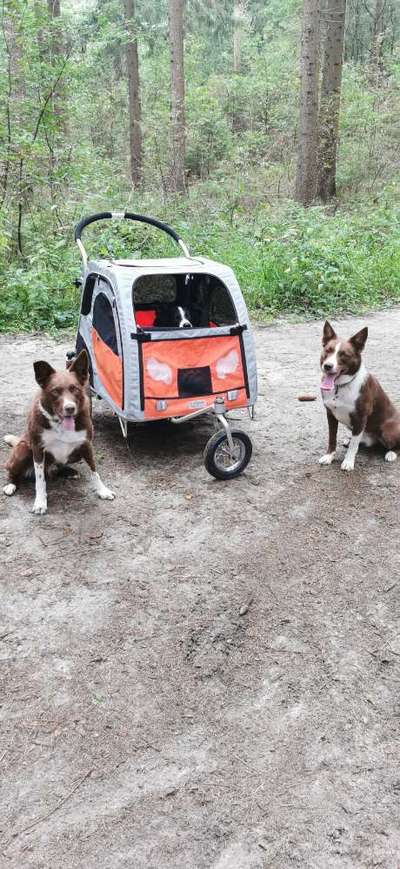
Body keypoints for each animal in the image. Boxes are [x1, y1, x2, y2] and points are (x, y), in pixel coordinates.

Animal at [3, 350, 114, 512]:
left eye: (74, 388)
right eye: (55, 391)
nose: (70, 408)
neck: (61, 425)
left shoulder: (86, 444)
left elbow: (94, 471)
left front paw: (102, 490)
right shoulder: (37, 448)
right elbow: (40, 480)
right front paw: (40, 502)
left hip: (75, 454)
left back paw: (69, 472)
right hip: (23, 450)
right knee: (12, 471)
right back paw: (11, 484)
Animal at [320, 320, 400, 472]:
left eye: (344, 354)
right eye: (328, 351)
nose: (327, 366)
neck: (340, 387)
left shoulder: (360, 417)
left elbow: (353, 447)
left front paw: (348, 462)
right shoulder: (330, 414)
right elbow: (332, 438)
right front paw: (329, 456)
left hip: (387, 430)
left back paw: (391, 453)